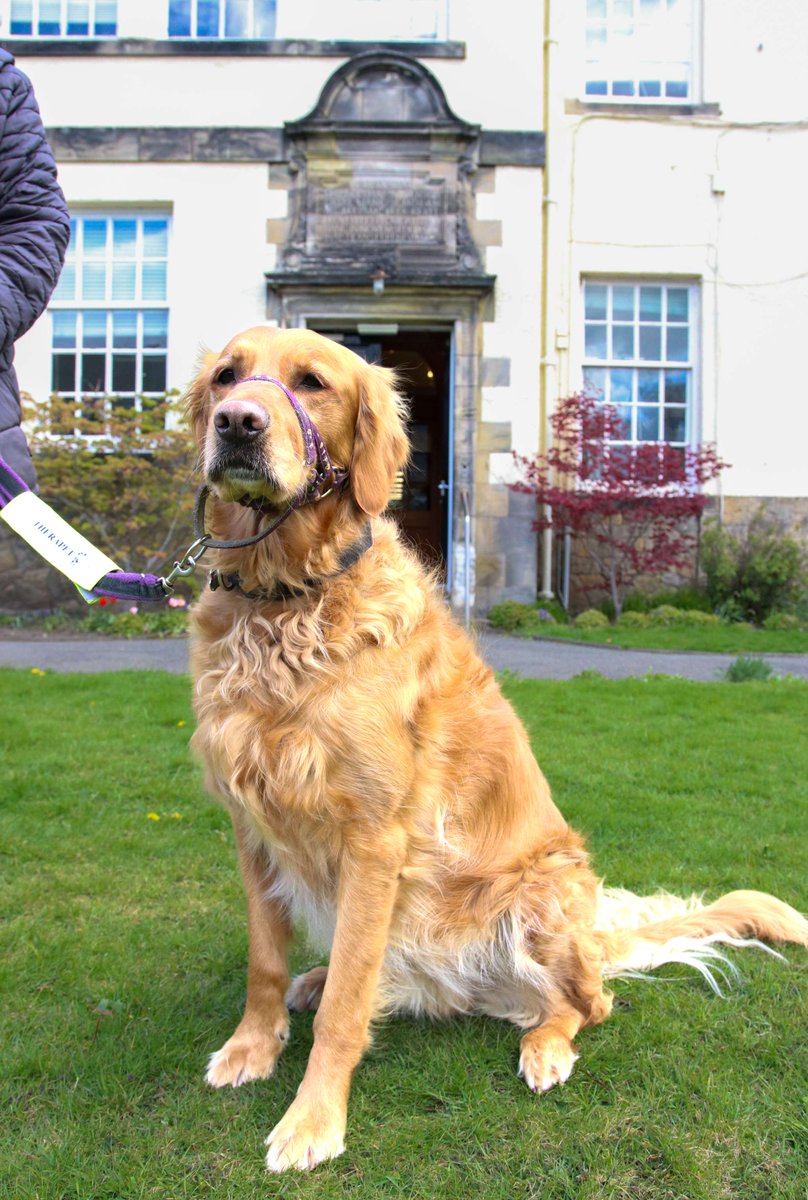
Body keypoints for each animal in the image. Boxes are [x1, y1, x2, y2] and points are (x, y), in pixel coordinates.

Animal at [184, 326, 806, 1171]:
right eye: (226, 377)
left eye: (312, 382)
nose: (238, 424)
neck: (285, 598)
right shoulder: (251, 824)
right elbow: (264, 960)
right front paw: (253, 1045)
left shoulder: (376, 839)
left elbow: (349, 1004)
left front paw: (312, 1120)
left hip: (540, 897)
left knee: (589, 1004)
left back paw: (547, 1047)